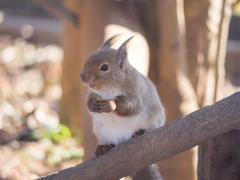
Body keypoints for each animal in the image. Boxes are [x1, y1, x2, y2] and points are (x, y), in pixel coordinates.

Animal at [80, 34, 165, 179]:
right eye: (87, 59)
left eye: (104, 67)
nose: (82, 76)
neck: (110, 89)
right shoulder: (93, 93)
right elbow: (89, 102)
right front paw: (92, 104)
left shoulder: (136, 93)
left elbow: (131, 107)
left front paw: (112, 104)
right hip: (103, 132)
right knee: (112, 143)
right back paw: (105, 147)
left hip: (154, 121)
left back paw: (140, 132)